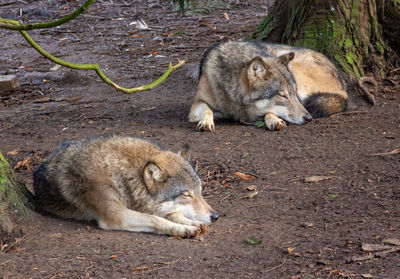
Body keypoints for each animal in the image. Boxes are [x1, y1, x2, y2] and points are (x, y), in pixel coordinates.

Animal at [33, 137, 219, 237]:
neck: (122, 173)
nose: (215, 216)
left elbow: (173, 213)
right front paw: (183, 229)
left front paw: (192, 223)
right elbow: (156, 219)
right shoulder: (115, 214)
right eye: (186, 195)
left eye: (200, 192)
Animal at [189, 41, 348, 132]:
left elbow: (269, 111)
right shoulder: (197, 102)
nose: (309, 118)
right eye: (282, 95)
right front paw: (206, 122)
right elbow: (207, 110)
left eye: (293, 92)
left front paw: (274, 120)